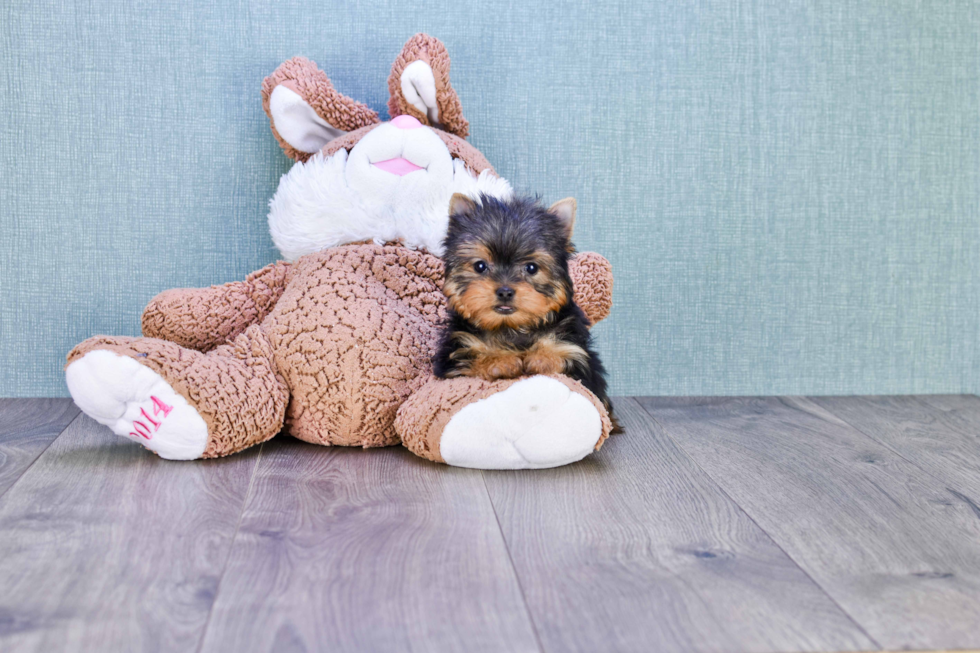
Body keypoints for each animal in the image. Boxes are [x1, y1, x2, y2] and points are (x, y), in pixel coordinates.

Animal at [436, 191, 620, 430]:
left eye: (531, 267)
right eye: (480, 266)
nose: (505, 291)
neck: (512, 327)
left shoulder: (578, 354)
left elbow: (564, 354)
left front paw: (541, 357)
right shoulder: (455, 354)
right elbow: (472, 356)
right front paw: (500, 360)